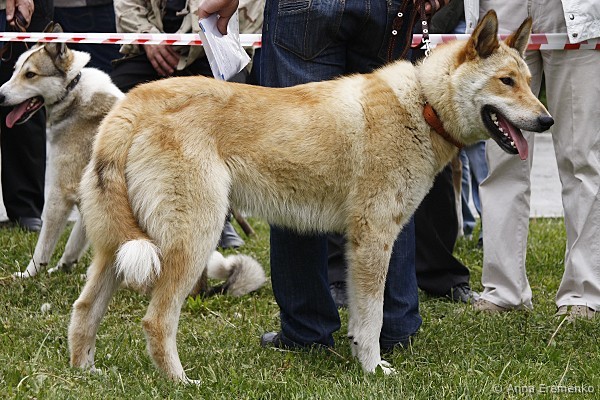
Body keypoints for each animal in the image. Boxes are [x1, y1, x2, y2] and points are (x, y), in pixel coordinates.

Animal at [68, 11, 553, 383]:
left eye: (528, 81)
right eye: (506, 81)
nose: (547, 121)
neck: (422, 104)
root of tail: (133, 105)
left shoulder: (366, 244)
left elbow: (361, 318)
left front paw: (364, 361)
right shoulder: (373, 240)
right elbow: (373, 318)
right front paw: (373, 370)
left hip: (119, 246)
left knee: (85, 308)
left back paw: (86, 373)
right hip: (191, 241)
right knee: (156, 320)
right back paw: (179, 382)